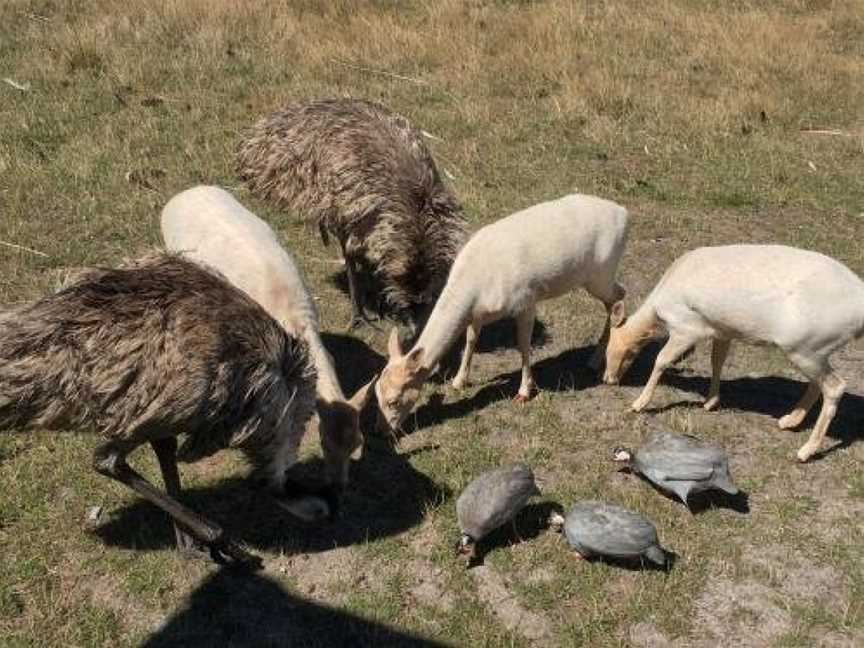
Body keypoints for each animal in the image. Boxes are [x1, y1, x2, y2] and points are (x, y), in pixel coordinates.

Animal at [376, 195, 628, 432]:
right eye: (376, 391)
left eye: (393, 400)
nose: (382, 431)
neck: (474, 287)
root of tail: (624, 213)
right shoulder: (477, 313)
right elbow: (471, 339)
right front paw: (459, 381)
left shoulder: (526, 300)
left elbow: (523, 344)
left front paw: (524, 392)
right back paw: (596, 359)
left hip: (601, 274)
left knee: (619, 296)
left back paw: (599, 362)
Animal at [600, 243, 864, 460]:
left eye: (620, 351)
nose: (609, 379)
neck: (659, 306)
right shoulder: (722, 331)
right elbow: (717, 361)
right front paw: (710, 402)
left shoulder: (687, 329)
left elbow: (661, 360)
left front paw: (638, 404)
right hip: (812, 352)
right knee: (819, 383)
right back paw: (789, 421)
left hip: (804, 347)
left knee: (836, 385)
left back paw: (806, 451)